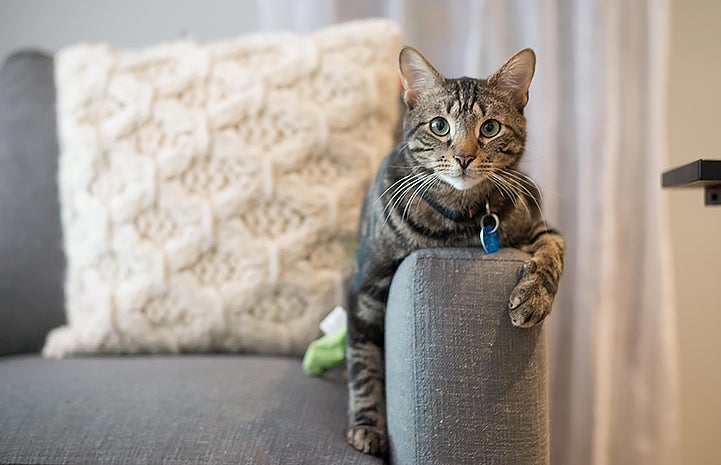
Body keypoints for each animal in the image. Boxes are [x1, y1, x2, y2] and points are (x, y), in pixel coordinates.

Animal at [346, 46, 564, 454]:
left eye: (490, 128)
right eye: (439, 126)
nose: (464, 157)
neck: (458, 223)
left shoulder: (537, 226)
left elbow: (555, 251)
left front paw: (534, 298)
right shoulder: (364, 286)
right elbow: (364, 363)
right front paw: (367, 426)